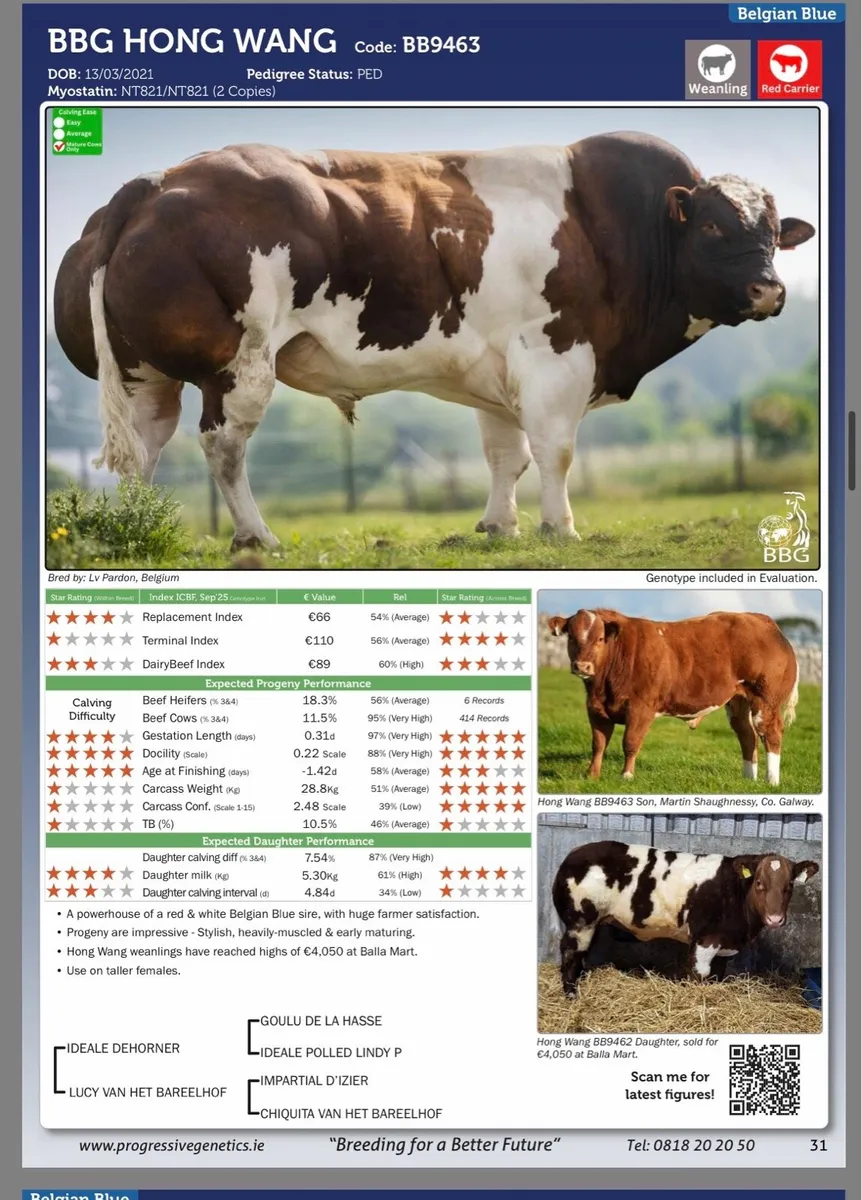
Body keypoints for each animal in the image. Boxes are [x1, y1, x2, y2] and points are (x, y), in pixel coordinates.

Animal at [53, 133, 816, 550]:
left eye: (774, 232)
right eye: (713, 226)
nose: (770, 292)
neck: (617, 228)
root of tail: (156, 181)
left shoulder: (499, 367)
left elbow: (506, 455)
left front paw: (500, 527)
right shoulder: (557, 355)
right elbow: (555, 451)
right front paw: (561, 528)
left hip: (145, 373)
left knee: (142, 452)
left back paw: (140, 529)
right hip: (240, 364)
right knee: (224, 446)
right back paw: (255, 535)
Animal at [547, 609, 799, 786]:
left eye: (600, 639)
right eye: (571, 638)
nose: (582, 666)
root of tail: (761, 620)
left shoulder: (641, 708)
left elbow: (630, 742)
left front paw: (626, 776)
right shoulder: (596, 709)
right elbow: (598, 744)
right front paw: (592, 775)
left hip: (765, 700)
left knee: (770, 733)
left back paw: (771, 781)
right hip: (738, 701)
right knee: (747, 736)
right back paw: (748, 779)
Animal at [552, 840, 819, 993]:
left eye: (789, 886)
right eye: (760, 883)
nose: (775, 919)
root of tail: (574, 854)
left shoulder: (722, 945)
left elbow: (716, 977)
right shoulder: (704, 940)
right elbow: (698, 976)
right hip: (580, 921)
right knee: (570, 954)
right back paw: (572, 994)